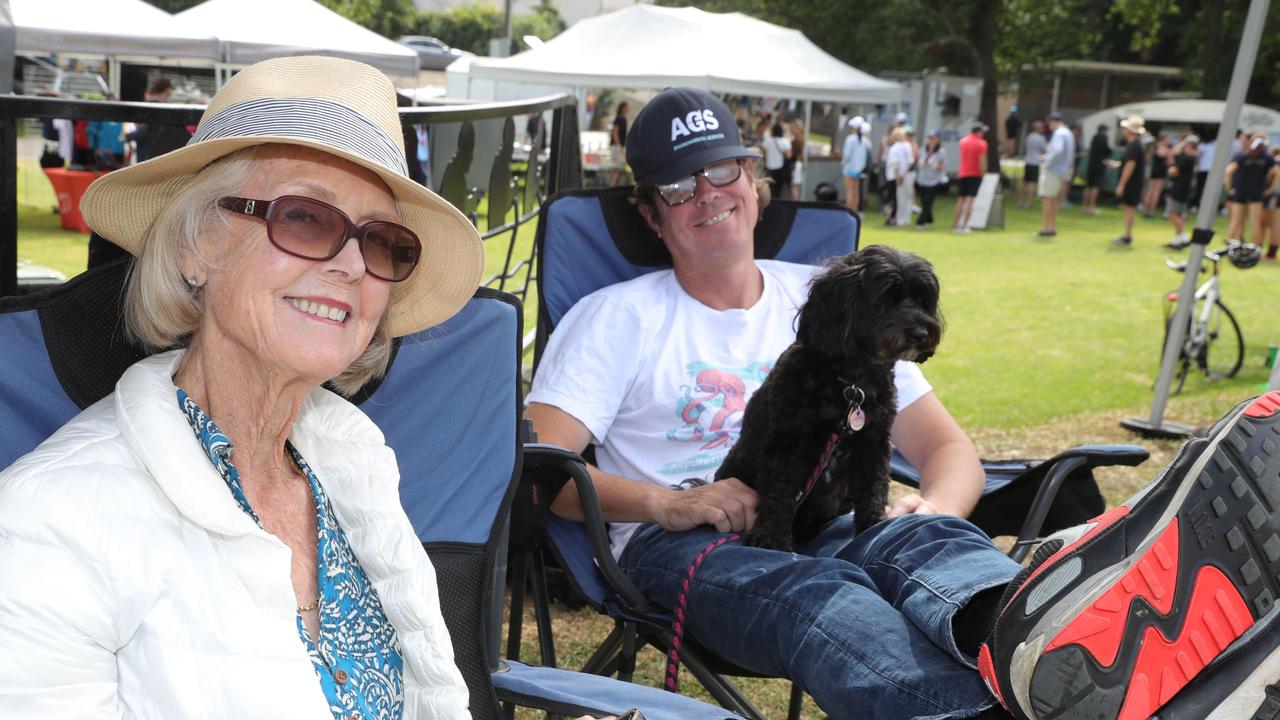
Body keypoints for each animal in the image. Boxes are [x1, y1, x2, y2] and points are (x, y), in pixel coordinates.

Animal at [716, 243, 947, 545]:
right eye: (885, 299)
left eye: (923, 300)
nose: (921, 333)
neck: (851, 385)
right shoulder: (788, 443)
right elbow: (780, 492)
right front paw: (770, 537)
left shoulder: (873, 442)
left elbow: (873, 490)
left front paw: (872, 527)